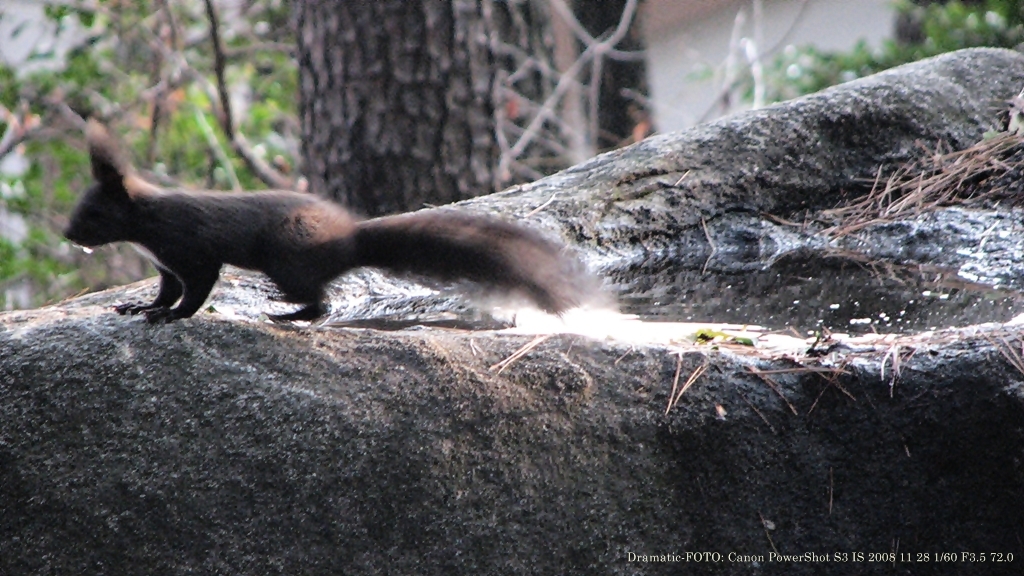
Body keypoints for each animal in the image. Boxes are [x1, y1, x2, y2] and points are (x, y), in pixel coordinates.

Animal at [64, 120, 593, 319]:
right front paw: (143, 307)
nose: (68, 233)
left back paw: (287, 312)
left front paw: (170, 317)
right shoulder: (165, 264)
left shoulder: (190, 249)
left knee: (321, 303)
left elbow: (195, 290)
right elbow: (167, 288)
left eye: (93, 212)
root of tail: (348, 239)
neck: (146, 224)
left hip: (287, 259)